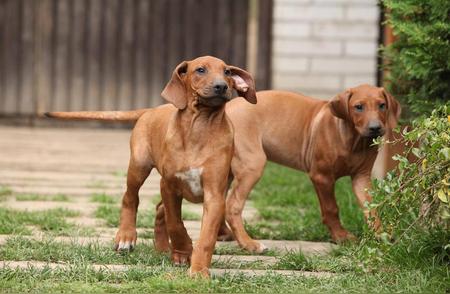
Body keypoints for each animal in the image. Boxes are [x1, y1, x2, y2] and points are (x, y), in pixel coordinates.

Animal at [46, 55, 256, 278]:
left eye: (227, 72)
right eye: (200, 70)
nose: (221, 86)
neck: (200, 126)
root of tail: (152, 109)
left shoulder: (214, 195)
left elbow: (206, 236)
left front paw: (198, 269)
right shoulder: (169, 185)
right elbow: (175, 223)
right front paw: (184, 250)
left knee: (159, 208)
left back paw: (163, 248)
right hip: (139, 166)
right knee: (130, 198)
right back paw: (126, 237)